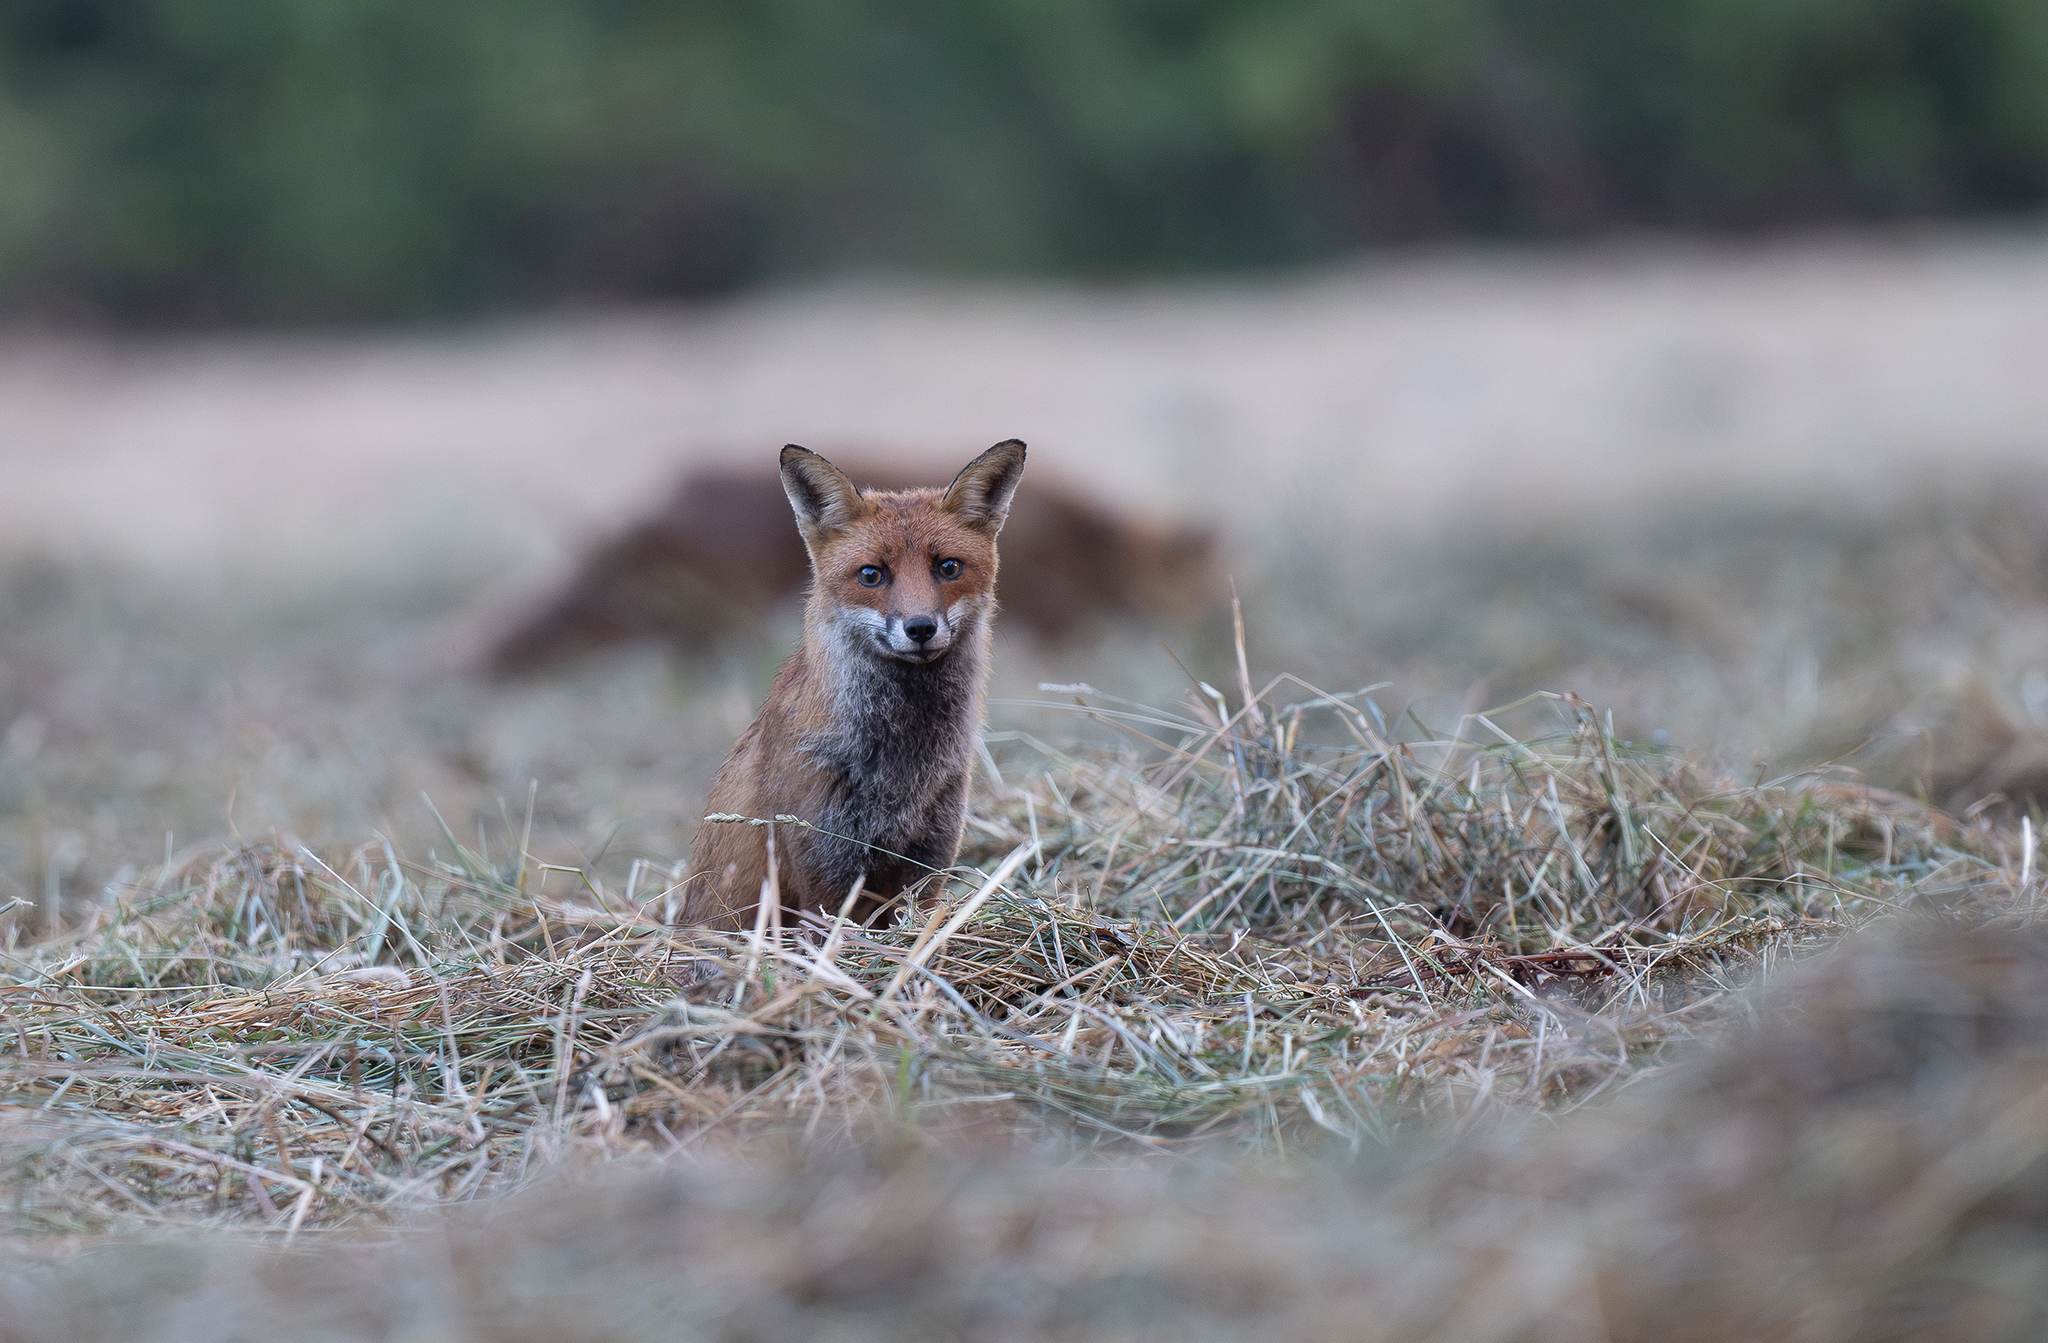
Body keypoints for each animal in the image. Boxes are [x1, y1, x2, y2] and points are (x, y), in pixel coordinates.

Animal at [681, 441, 1026, 930]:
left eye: (948, 567)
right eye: (871, 575)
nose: (921, 628)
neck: (903, 769)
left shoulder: (928, 866)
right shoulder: (823, 872)